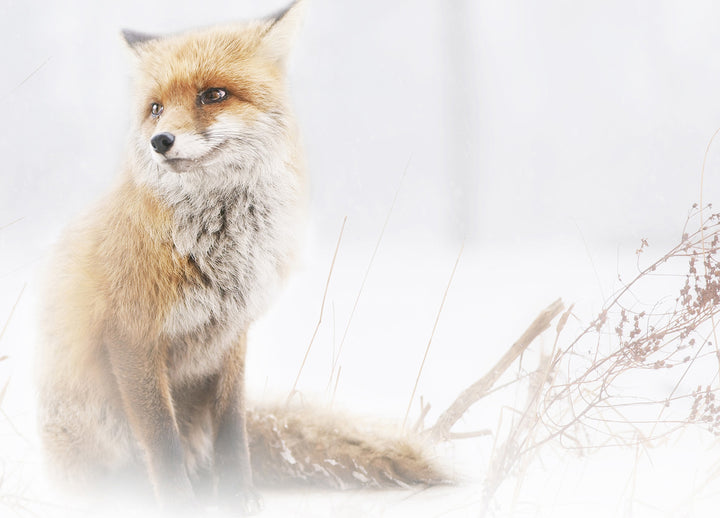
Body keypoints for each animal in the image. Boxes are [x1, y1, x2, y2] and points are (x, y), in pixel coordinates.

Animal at [36, 1, 446, 514]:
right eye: (155, 109)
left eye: (213, 95)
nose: (160, 141)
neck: (219, 254)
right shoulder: (131, 335)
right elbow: (162, 439)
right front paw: (179, 504)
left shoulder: (232, 334)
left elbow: (232, 427)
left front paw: (238, 496)